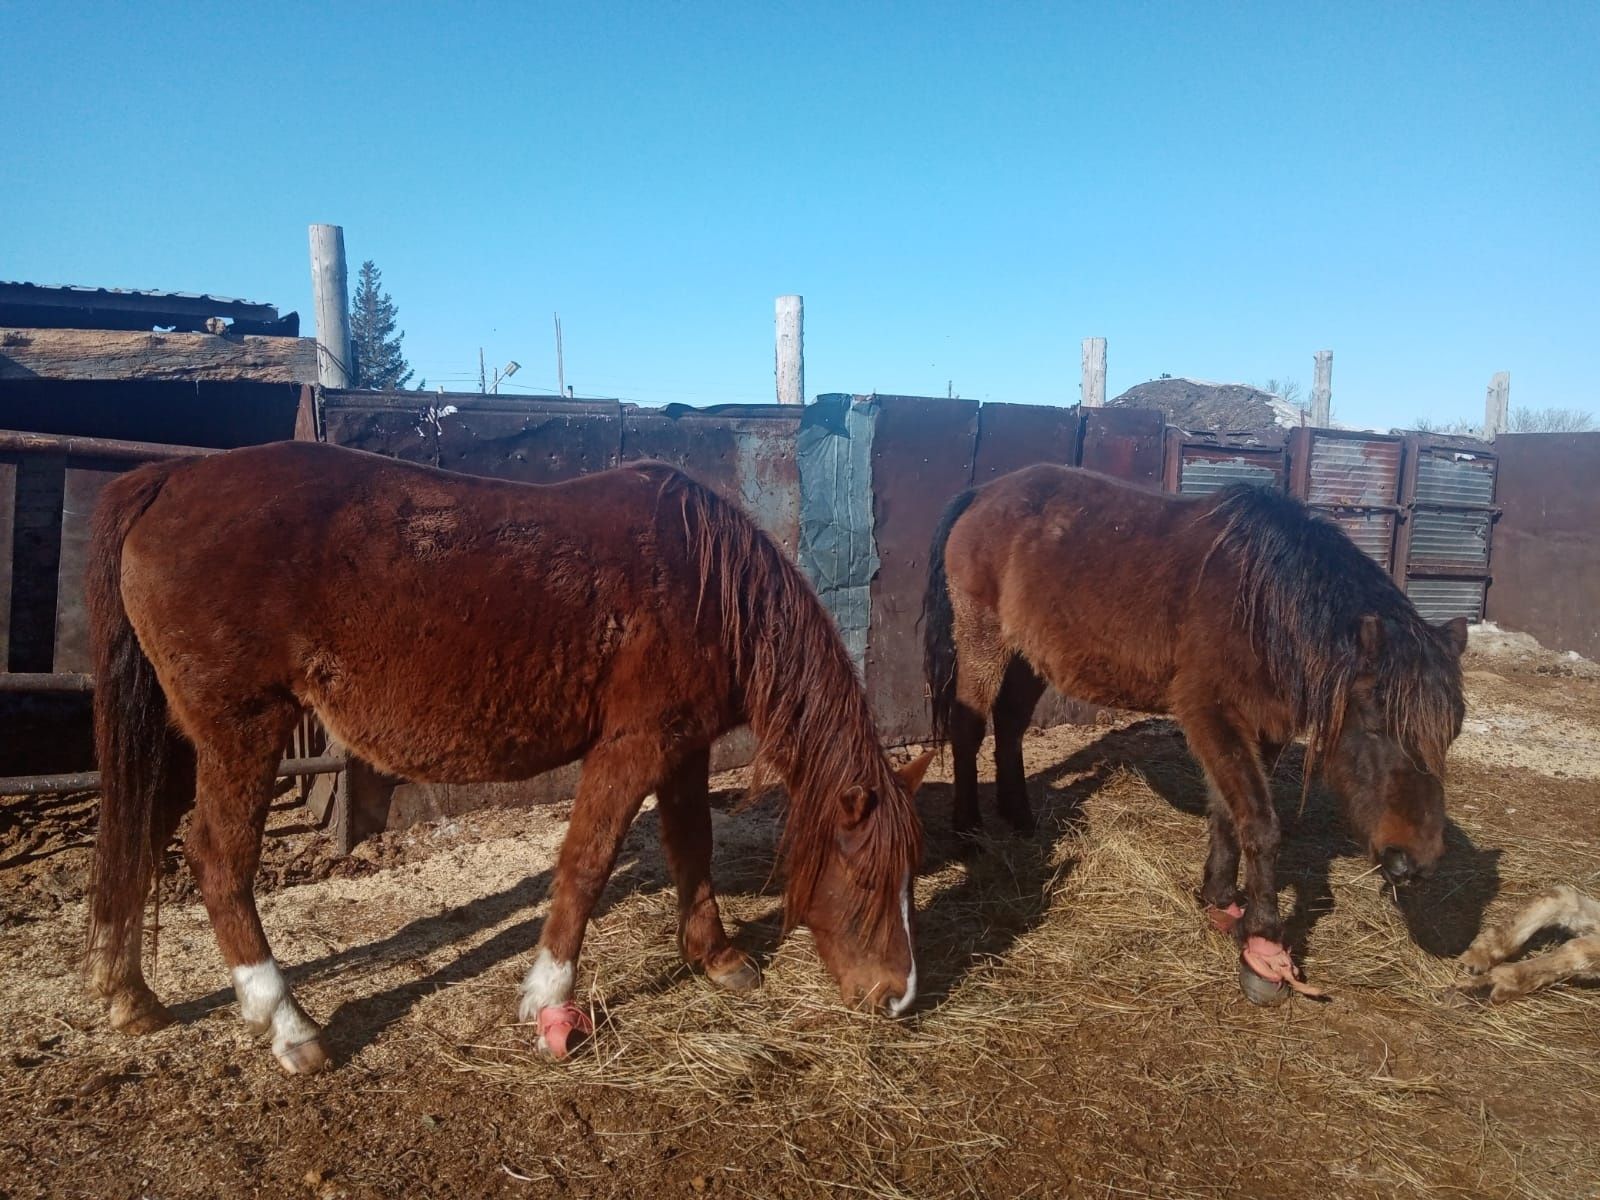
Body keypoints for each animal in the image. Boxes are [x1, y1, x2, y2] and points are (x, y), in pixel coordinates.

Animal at [87, 444, 934, 1081]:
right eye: (866, 880)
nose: (898, 998)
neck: (703, 581)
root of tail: (169, 480)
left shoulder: (682, 745)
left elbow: (691, 846)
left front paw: (718, 956)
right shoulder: (634, 746)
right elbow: (586, 865)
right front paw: (546, 997)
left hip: (179, 739)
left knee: (137, 839)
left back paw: (129, 996)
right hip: (243, 732)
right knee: (216, 860)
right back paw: (288, 1025)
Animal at [921, 467, 1465, 1004]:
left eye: (1452, 732)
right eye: (1375, 724)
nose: (1414, 862)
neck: (1262, 604)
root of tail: (983, 494)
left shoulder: (1261, 729)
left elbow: (1231, 814)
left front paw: (1220, 899)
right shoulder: (1211, 715)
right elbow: (1261, 826)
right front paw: (1263, 949)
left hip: (1029, 652)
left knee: (1010, 725)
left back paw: (1019, 817)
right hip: (983, 637)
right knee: (970, 728)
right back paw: (968, 830)